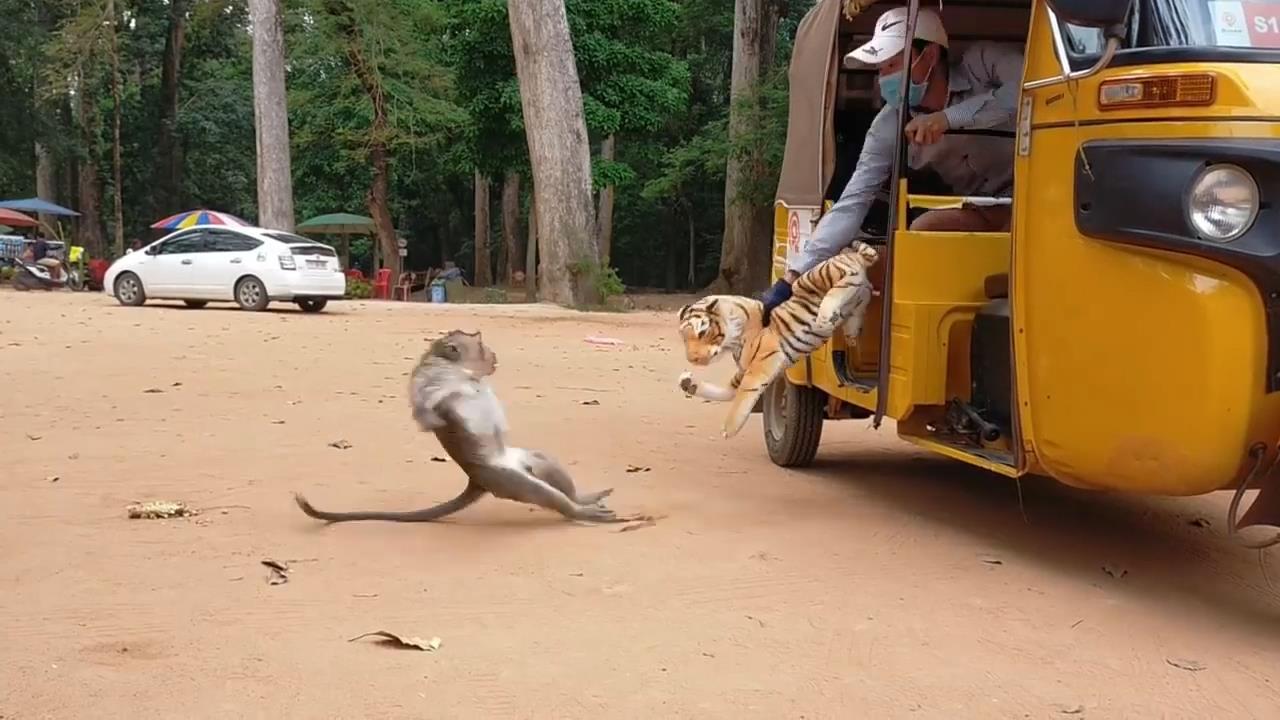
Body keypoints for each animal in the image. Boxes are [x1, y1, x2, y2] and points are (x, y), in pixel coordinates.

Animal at [676, 241, 881, 438]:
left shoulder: (758, 365)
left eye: (702, 332)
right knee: (858, 284)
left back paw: (825, 314)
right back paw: (851, 333)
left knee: (847, 273)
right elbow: (724, 391)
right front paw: (688, 383)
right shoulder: (743, 370)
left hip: (809, 279)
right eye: (684, 340)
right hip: (858, 296)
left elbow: (743, 396)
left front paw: (728, 429)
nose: (692, 360)